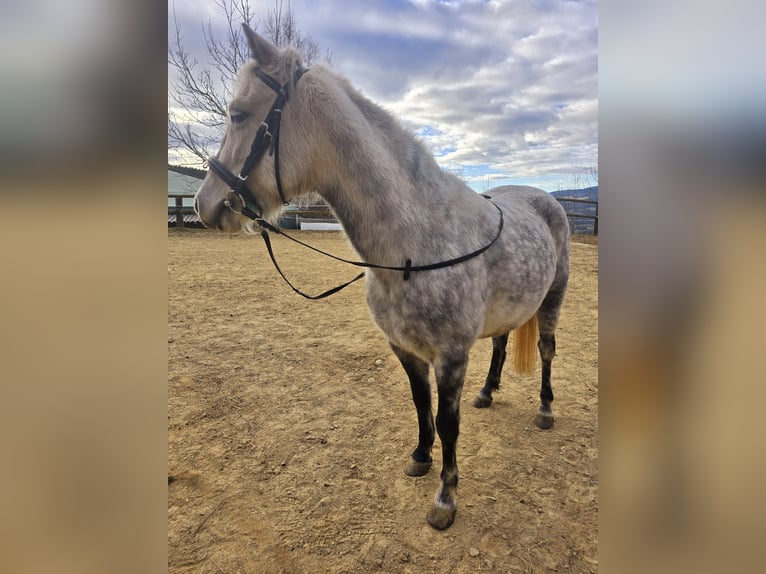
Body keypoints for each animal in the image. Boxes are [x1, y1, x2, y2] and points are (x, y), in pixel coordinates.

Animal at [196, 25, 568, 532]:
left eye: (238, 113)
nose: (204, 204)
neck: (415, 244)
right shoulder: (404, 349)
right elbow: (420, 403)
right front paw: (420, 457)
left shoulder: (451, 356)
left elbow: (448, 422)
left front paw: (445, 499)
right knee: (500, 343)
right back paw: (487, 393)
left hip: (552, 299)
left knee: (546, 350)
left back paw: (545, 409)